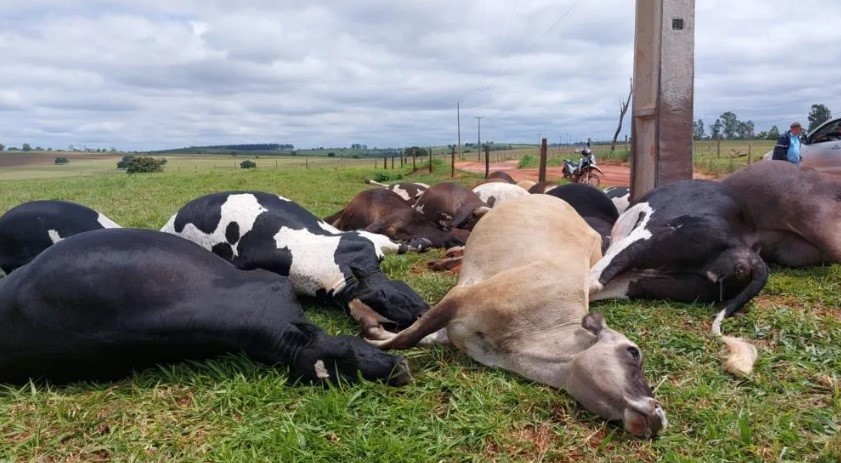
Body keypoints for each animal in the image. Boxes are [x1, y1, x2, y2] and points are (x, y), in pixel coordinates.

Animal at [162, 191, 430, 331]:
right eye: (383, 298)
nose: (423, 313)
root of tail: (171, 219)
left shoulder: (364, 238)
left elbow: (396, 244)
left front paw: (420, 243)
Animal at [366, 195, 666, 438]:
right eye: (633, 352)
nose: (659, 413)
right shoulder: (459, 297)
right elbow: (407, 337)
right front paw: (374, 341)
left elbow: (418, 335)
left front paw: (376, 334)